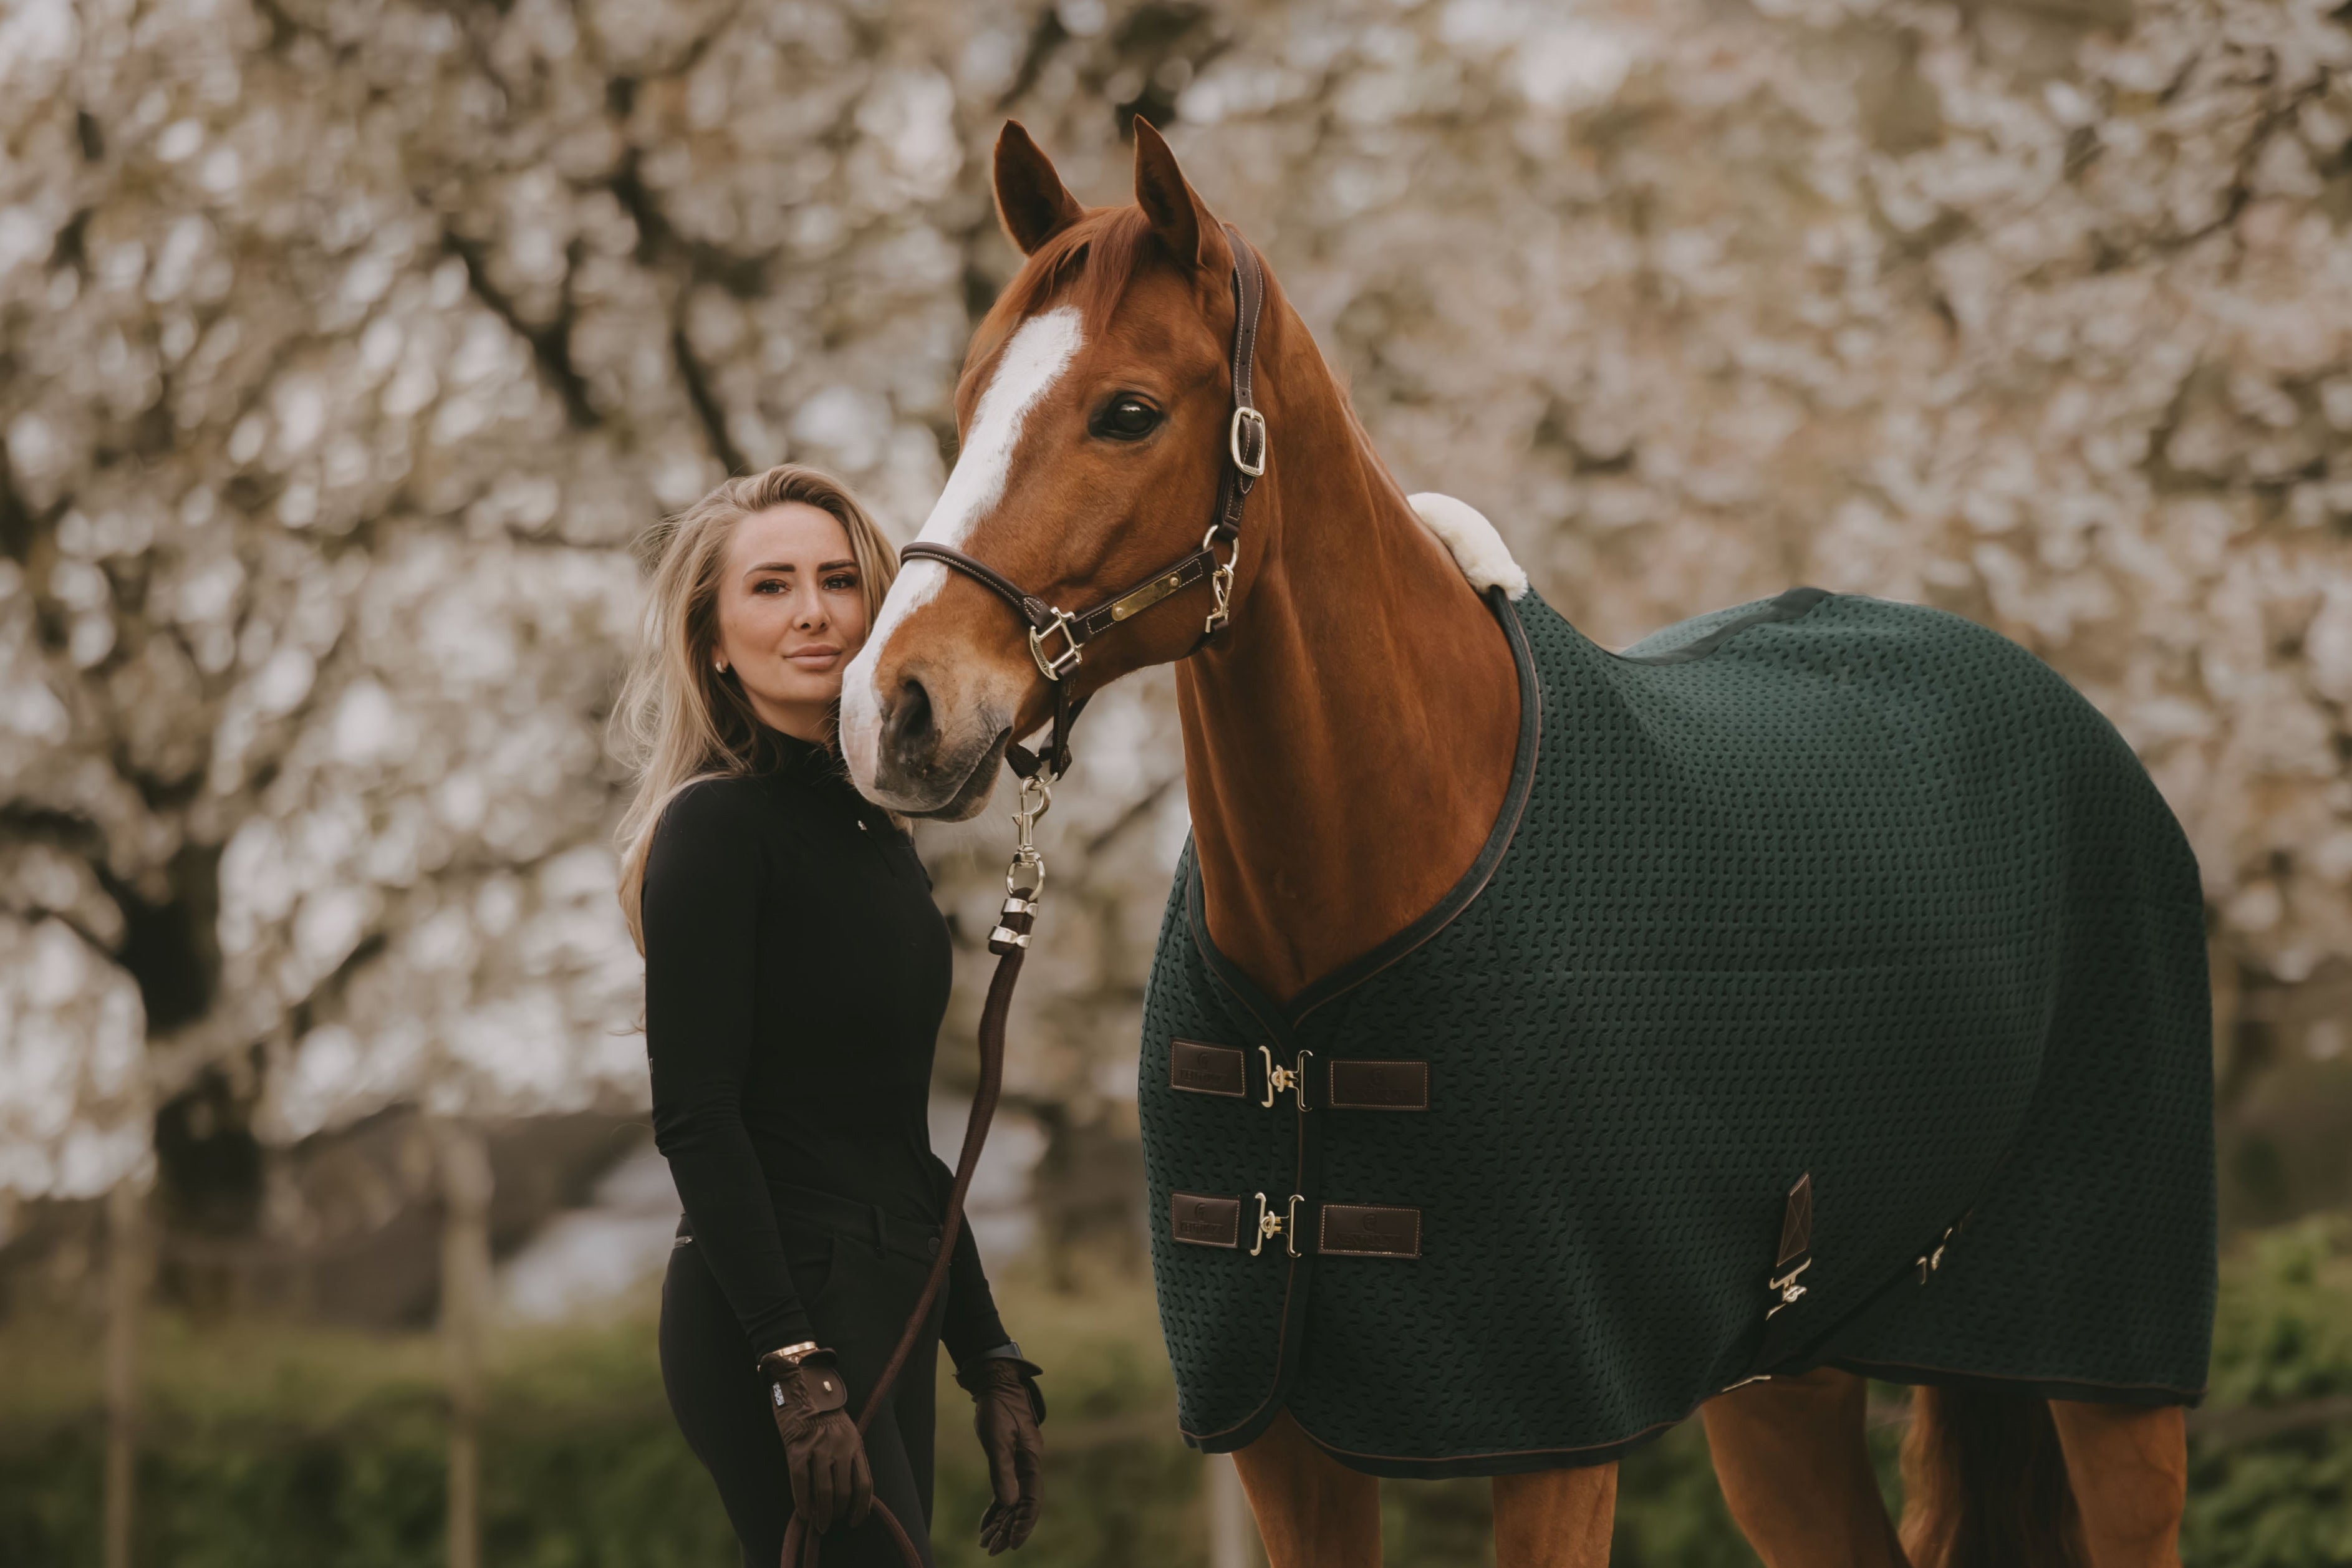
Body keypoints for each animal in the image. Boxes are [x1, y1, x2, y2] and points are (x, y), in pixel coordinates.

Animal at [840, 119, 2209, 1568]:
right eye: (967, 402)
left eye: (1128, 413)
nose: (891, 709)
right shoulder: (1279, 1437)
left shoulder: (1550, 1427)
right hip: (1784, 1391)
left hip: (2100, 1376)